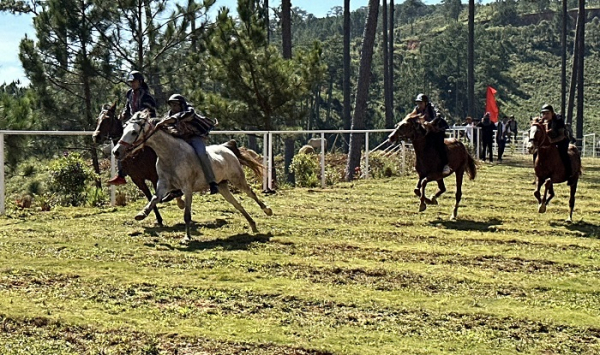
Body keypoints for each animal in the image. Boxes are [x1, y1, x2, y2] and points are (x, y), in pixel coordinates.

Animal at [112, 110, 272, 241]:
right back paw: (253, 225)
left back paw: (267, 210)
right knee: (237, 204)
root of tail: (226, 148)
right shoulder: (163, 184)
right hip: (222, 187)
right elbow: (154, 199)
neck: (171, 155)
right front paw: (142, 214)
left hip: (238, 179)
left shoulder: (187, 188)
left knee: (251, 193)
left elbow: (187, 215)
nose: (116, 151)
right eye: (123, 130)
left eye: (133, 132)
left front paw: (187, 237)